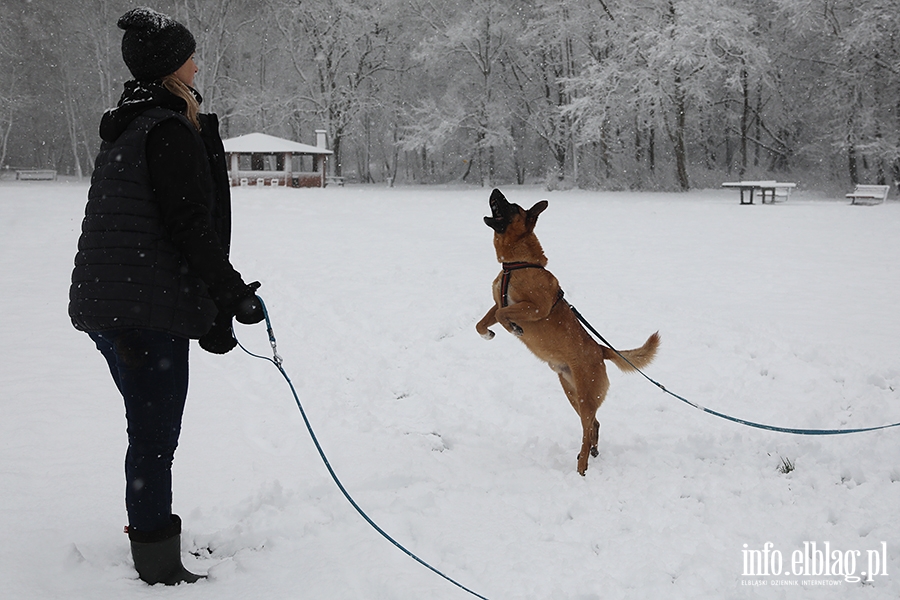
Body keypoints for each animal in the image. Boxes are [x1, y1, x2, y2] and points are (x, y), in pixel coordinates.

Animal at [474, 190, 656, 476]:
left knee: (587, 429)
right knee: (594, 424)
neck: (516, 265)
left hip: (585, 395)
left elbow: (504, 315)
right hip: (571, 393)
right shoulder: (497, 303)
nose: (495, 191)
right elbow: (482, 322)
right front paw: (488, 334)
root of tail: (600, 349)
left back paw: (582, 466)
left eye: (512, 206)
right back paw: (591, 453)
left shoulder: (536, 307)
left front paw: (514, 328)